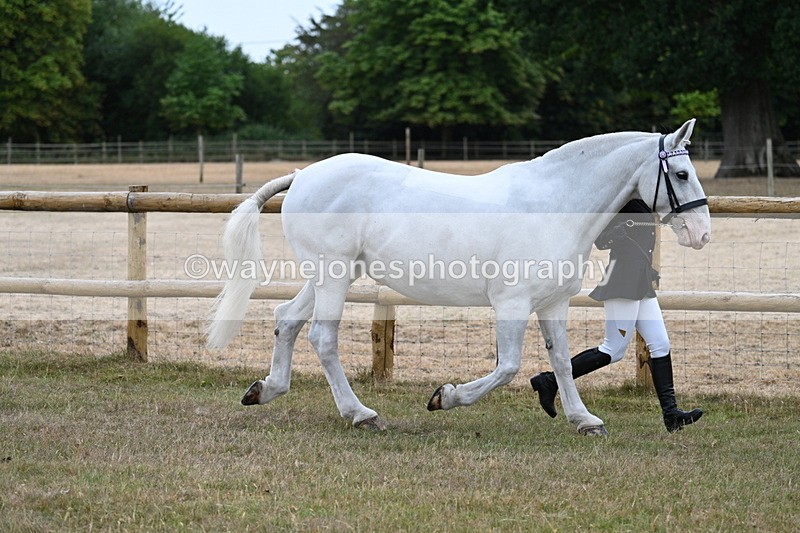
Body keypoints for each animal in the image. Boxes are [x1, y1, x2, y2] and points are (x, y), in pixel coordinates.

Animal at [208, 119, 711, 436]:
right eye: (681, 173)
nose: (702, 234)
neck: (553, 204)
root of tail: (302, 174)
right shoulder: (512, 304)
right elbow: (508, 367)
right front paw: (444, 397)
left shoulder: (553, 303)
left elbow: (564, 363)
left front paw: (584, 420)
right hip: (332, 277)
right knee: (322, 339)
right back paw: (361, 414)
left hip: (330, 275)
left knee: (286, 319)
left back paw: (265, 390)